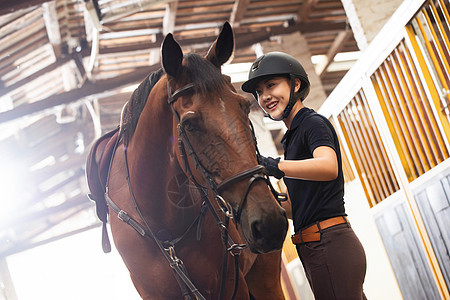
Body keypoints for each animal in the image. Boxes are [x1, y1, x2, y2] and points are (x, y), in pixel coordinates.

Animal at [85, 22, 286, 298]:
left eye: (245, 107)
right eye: (190, 124)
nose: (269, 223)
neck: (164, 227)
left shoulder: (233, 287)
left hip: (265, 277)